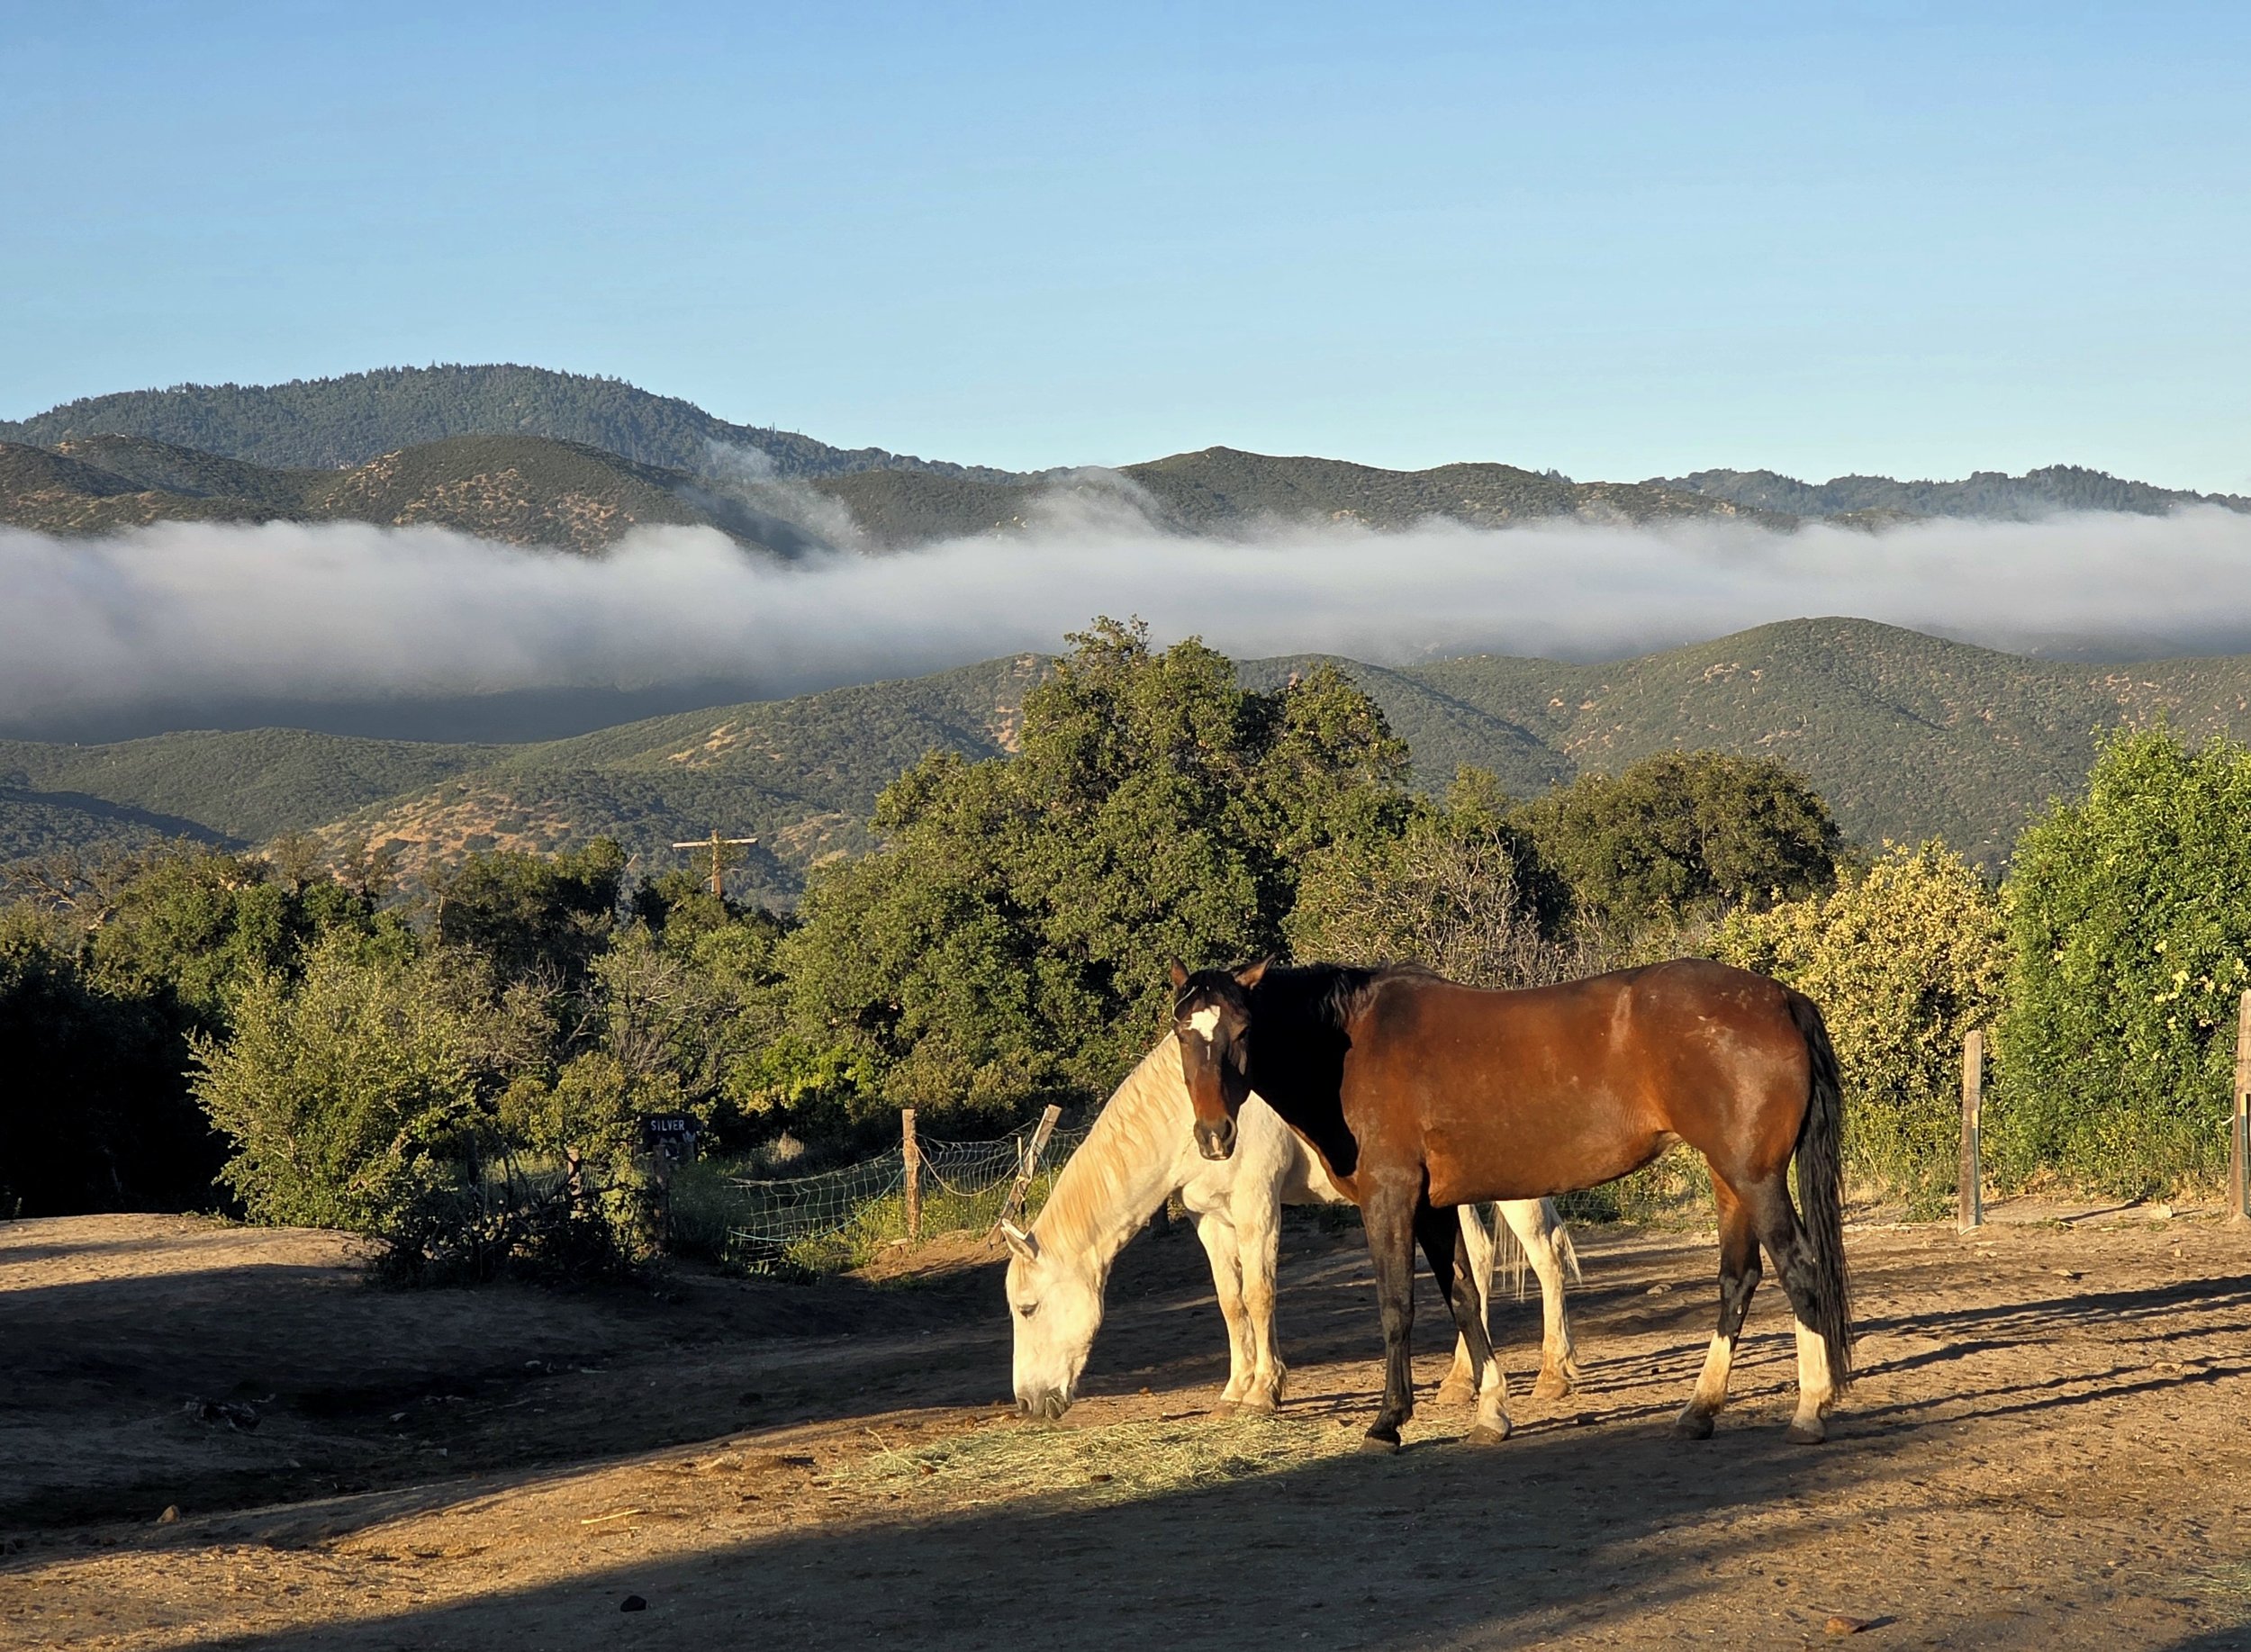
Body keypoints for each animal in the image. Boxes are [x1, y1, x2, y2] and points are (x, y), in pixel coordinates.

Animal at [1001, 1033, 1583, 1421]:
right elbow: (1230, 1303)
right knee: (1479, 1260)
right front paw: (1235, 1390)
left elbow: (1260, 1295)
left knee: (1544, 1256)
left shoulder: (1258, 1203)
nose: (1028, 1402)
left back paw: (1553, 1375)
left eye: (1028, 1308)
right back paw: (1464, 1382)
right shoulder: (1209, 1220)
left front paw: (1264, 1393)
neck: (1187, 1113)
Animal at [1169, 956, 1852, 1452]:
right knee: (1738, 1279)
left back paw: (1810, 1408)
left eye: (1241, 1030)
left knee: (1800, 1268)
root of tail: (1779, 999)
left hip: (1755, 1178)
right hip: (1728, 1178)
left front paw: (1388, 1422)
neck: (1353, 1045)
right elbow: (1464, 1297)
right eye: (1181, 1031)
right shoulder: (1433, 1207)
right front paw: (1492, 1412)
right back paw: (1700, 1410)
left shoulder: (1390, 1198)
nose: (1213, 1135)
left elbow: (1397, 1307)